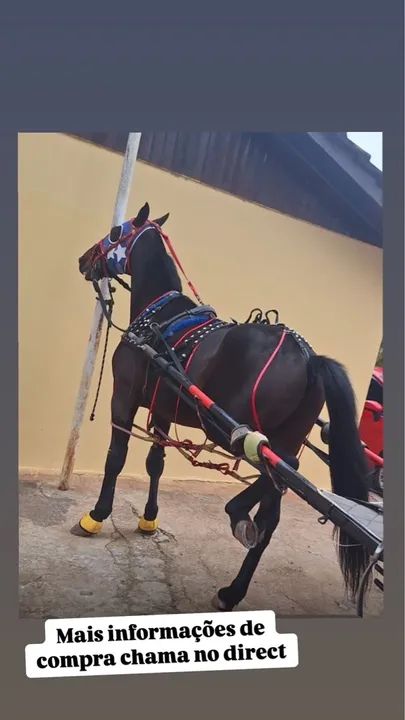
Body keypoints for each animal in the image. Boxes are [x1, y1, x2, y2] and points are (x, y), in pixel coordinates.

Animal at [74, 201, 370, 612]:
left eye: (116, 232)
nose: (85, 258)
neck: (157, 319)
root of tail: (310, 358)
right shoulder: (162, 410)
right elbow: (155, 464)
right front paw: (149, 519)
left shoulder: (125, 397)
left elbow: (116, 458)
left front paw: (96, 515)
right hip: (282, 436)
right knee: (272, 511)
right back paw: (233, 589)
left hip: (232, 430)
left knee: (283, 470)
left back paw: (237, 512)